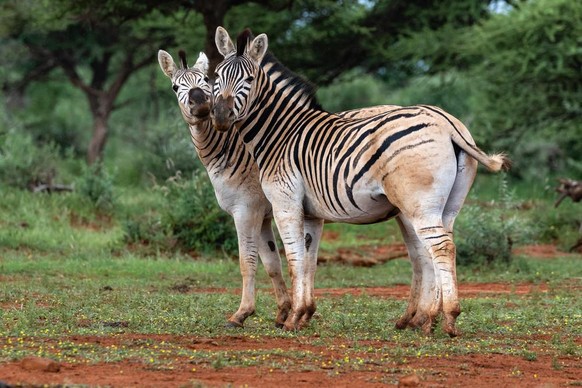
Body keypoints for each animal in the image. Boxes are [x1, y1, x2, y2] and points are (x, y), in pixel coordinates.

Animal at [157, 47, 400, 328]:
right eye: (175, 87)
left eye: (206, 80)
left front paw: (242, 314)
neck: (234, 149)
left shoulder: (246, 210)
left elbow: (248, 261)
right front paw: (284, 311)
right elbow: (273, 263)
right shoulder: (262, 215)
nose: (201, 104)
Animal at [211, 27, 512, 336]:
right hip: (447, 206)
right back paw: (428, 319)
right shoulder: (312, 213)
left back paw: (446, 318)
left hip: (419, 204)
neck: (280, 133)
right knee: (441, 247)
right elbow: (309, 261)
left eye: (249, 80)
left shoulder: (285, 202)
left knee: (440, 248)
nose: (220, 116)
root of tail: (448, 124)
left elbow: (294, 260)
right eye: (216, 75)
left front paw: (291, 317)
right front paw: (304, 313)